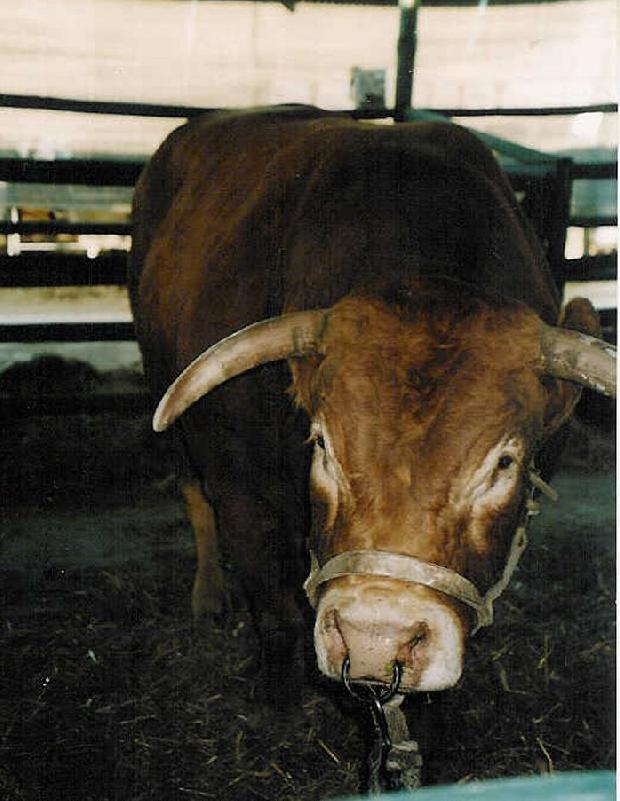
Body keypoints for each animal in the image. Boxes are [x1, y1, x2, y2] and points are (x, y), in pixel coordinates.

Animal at [128, 106, 615, 700]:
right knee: (193, 494)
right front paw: (278, 697)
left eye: (504, 464)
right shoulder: (238, 483)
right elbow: (275, 612)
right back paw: (209, 593)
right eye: (322, 444)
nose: (375, 641)